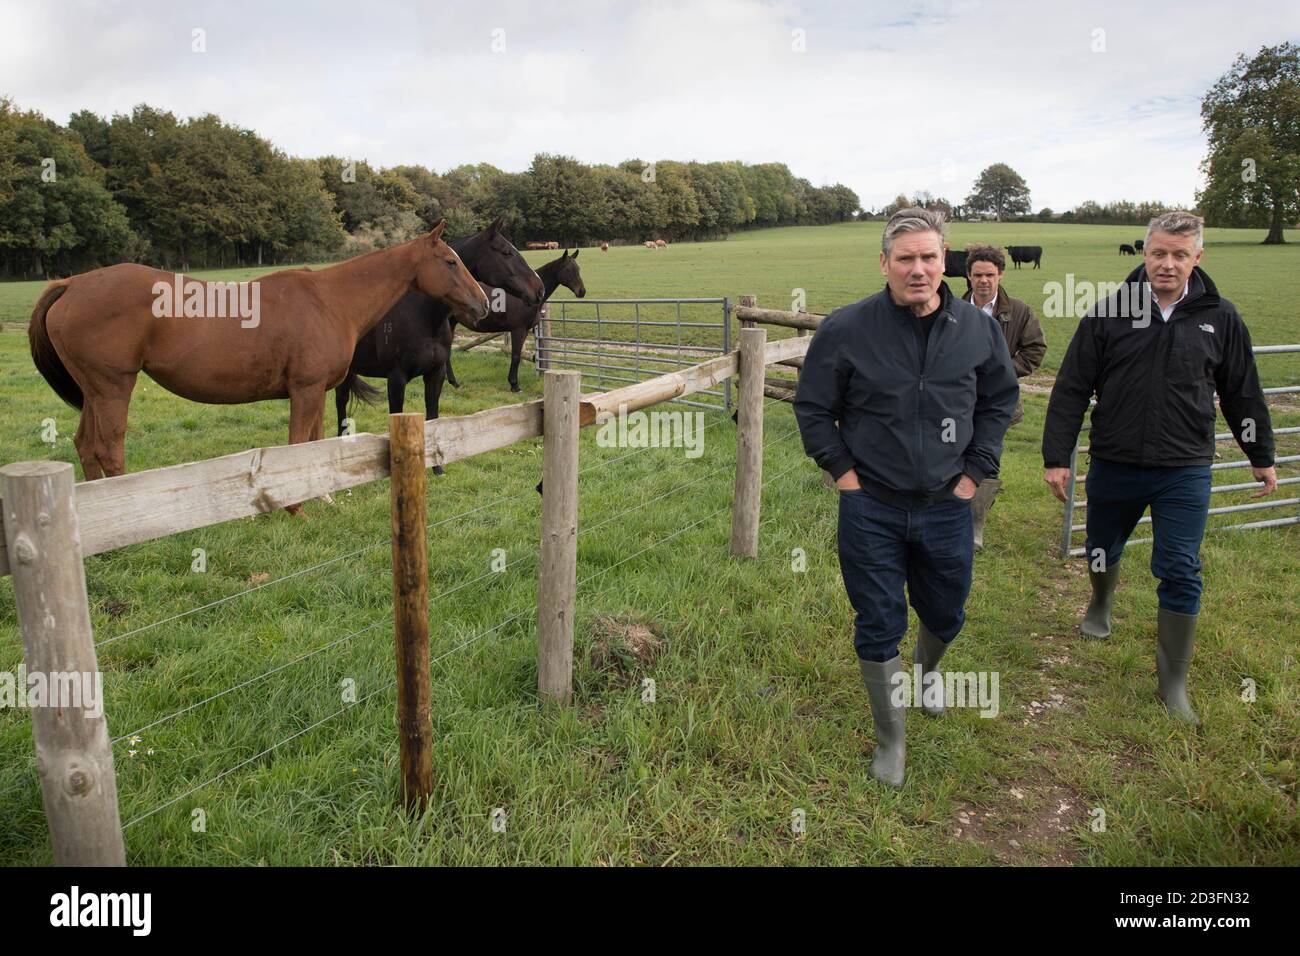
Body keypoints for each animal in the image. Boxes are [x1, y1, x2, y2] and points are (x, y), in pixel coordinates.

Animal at [29, 221, 488, 489]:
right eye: (450, 262)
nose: (483, 305)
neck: (330, 300)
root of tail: (71, 284)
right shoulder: (305, 390)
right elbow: (298, 444)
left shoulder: (317, 392)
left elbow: (314, 442)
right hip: (113, 388)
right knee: (108, 449)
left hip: (95, 392)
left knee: (85, 444)